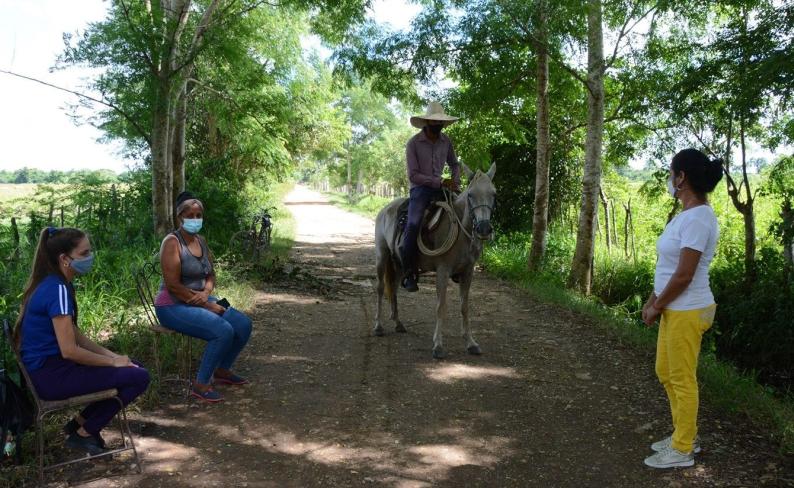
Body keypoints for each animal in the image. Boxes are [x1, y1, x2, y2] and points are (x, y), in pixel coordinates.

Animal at [372, 164, 496, 358]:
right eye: (470, 194)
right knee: (379, 288)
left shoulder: (468, 272)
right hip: (381, 256)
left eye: (494, 194)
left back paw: (398, 323)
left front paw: (471, 343)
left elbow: (465, 307)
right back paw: (378, 326)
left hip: (399, 265)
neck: (461, 233)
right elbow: (441, 307)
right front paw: (438, 345)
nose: (484, 229)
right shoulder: (442, 271)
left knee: (394, 289)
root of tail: (386, 209)